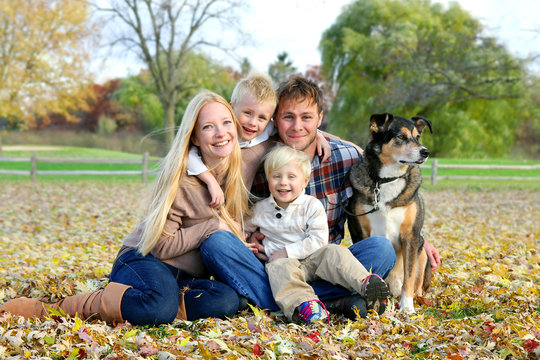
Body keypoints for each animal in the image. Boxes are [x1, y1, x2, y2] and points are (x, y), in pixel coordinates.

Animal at [348, 112, 432, 312]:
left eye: (417, 137)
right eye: (401, 136)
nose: (425, 152)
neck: (386, 180)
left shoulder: (411, 236)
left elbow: (409, 276)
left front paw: (407, 307)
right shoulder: (362, 233)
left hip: (422, 250)